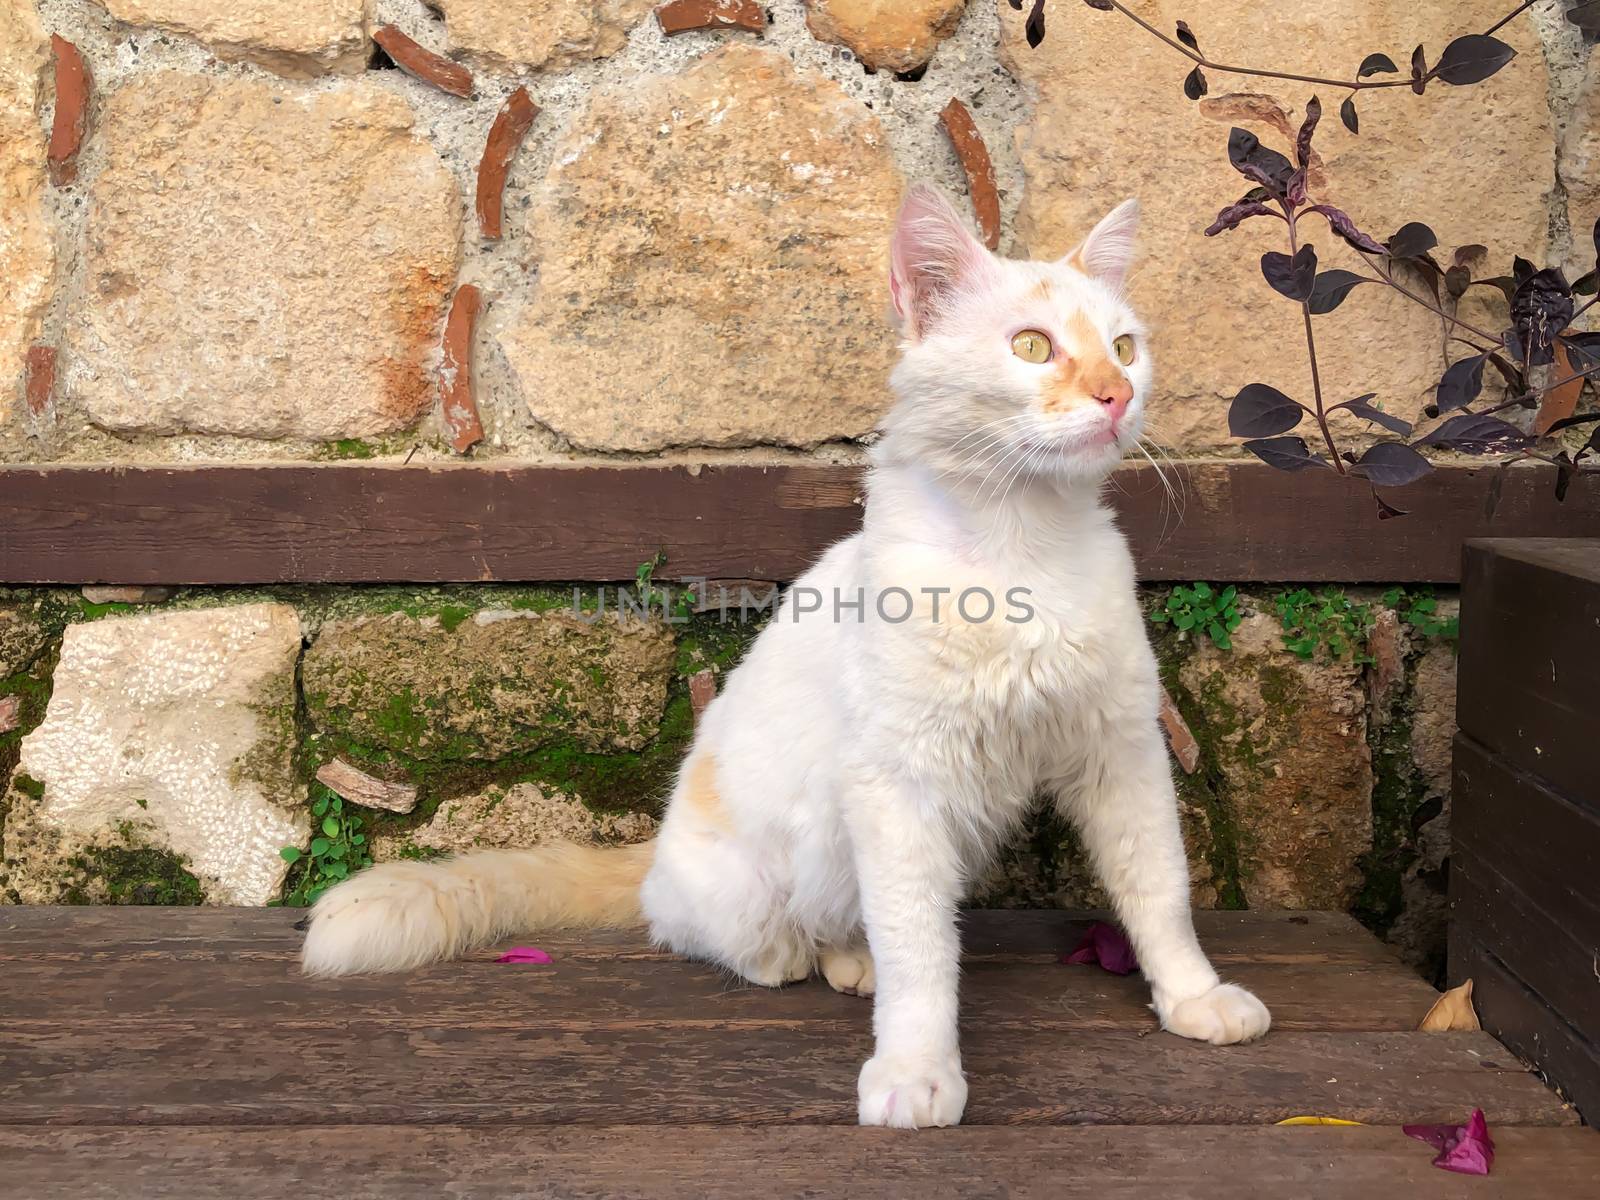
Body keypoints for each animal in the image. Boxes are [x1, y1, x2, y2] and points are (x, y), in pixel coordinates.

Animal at [305, 185, 1267, 1126]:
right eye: (1032, 347)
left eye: (1125, 348)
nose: (1115, 396)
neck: (1021, 547)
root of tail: (655, 852)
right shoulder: (896, 783)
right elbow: (921, 951)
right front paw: (917, 1070)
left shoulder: (1122, 750)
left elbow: (1161, 893)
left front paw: (1192, 997)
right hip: (770, 876)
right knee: (732, 935)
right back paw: (810, 959)